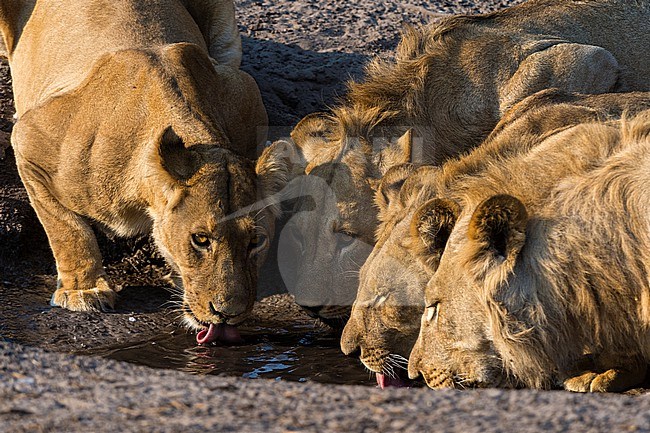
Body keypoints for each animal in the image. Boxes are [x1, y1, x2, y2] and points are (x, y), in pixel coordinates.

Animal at [0, 0, 286, 344]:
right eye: (200, 239)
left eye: (256, 240)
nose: (229, 313)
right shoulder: (29, 140)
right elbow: (66, 227)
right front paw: (84, 290)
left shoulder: (243, 92)